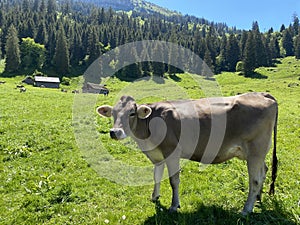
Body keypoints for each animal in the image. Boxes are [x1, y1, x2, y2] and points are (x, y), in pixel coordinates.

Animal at [97, 92, 278, 215]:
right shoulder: (157, 156)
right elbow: (156, 176)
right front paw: (154, 197)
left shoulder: (172, 152)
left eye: (132, 113)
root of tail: (261, 94)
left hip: (255, 150)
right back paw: (258, 198)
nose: (115, 132)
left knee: (255, 180)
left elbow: (174, 181)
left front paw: (174, 205)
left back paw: (246, 209)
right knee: (264, 171)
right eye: (113, 113)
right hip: (258, 153)